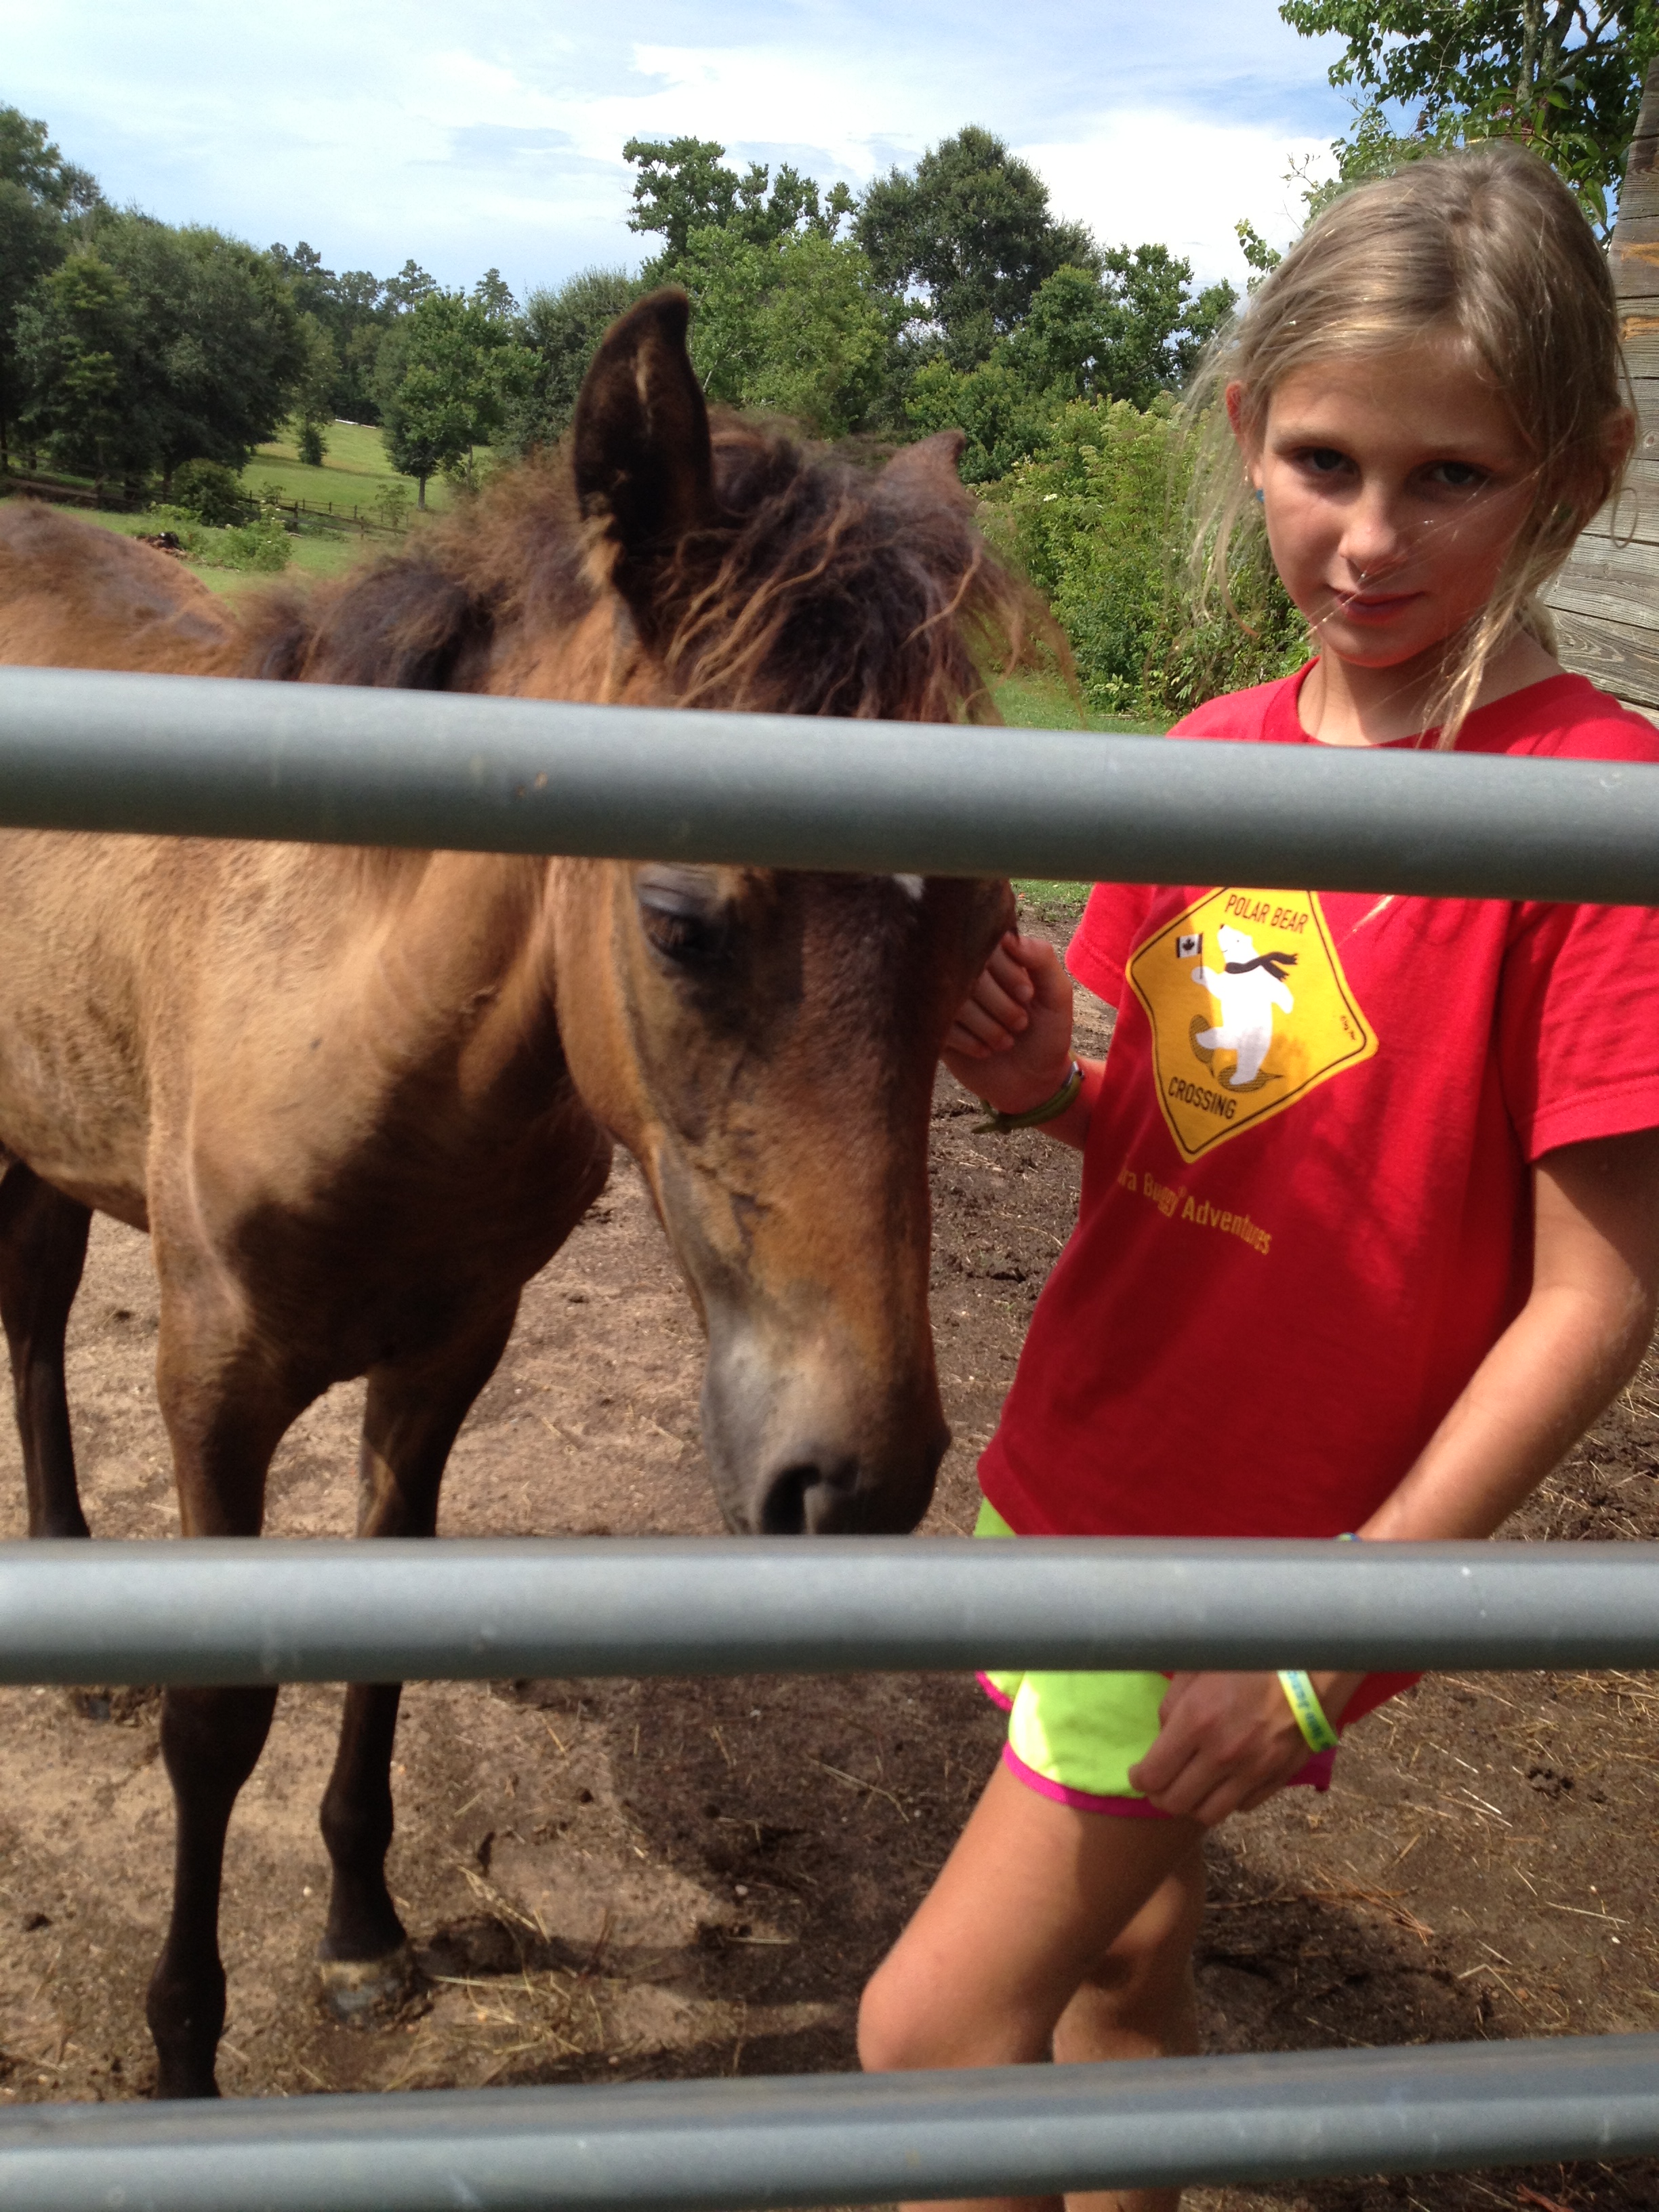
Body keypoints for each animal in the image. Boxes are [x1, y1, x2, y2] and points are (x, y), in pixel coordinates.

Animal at [0, 291, 1033, 2099]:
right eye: (682, 921)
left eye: (983, 932)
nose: (857, 1475)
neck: (349, 1012)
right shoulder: (213, 1377)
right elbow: (215, 1718)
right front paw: (184, 2048)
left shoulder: (447, 1353)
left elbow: (387, 1633)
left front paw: (362, 1938)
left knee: (35, 1300)